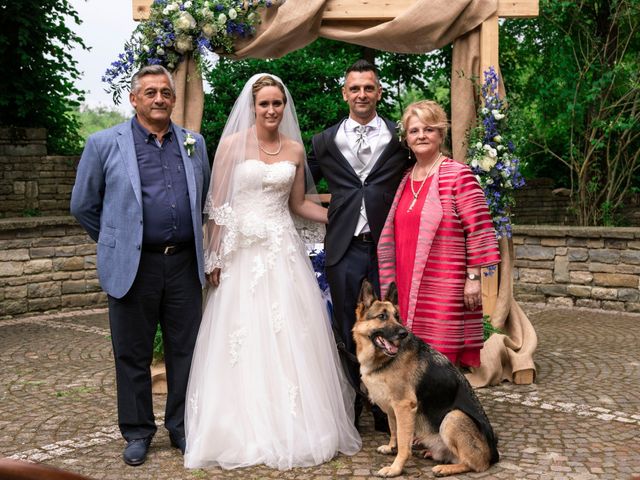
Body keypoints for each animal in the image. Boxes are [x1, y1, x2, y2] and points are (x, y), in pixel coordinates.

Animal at [352, 280, 498, 478]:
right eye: (382, 316)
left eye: (397, 317)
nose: (403, 333)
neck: (384, 359)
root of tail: (494, 453)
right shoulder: (391, 407)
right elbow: (394, 429)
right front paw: (391, 447)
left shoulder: (404, 406)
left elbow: (403, 443)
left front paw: (395, 468)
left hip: (452, 417)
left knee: (475, 464)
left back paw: (445, 468)